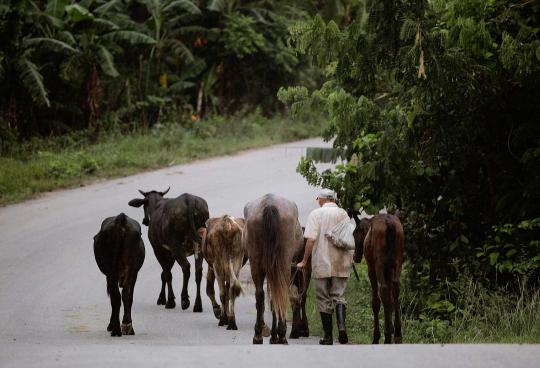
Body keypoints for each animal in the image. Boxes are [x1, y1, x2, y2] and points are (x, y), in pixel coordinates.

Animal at [352, 214, 402, 344]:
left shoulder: (371, 268)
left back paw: (387, 336)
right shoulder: (389, 270)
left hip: (379, 263)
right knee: (396, 290)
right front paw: (392, 328)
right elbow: (390, 300)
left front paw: (377, 336)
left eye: (354, 234)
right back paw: (398, 334)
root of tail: (390, 225)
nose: (355, 256)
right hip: (398, 261)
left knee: (383, 291)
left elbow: (376, 302)